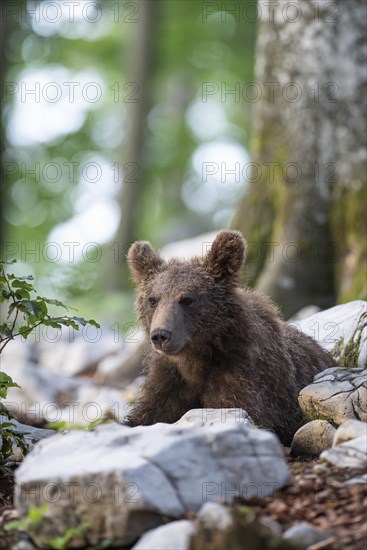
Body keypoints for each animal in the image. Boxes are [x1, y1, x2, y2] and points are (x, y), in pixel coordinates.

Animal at [125, 231, 338, 446]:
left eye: (187, 299)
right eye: (153, 300)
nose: (161, 335)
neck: (197, 359)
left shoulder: (245, 375)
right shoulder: (168, 380)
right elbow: (146, 415)